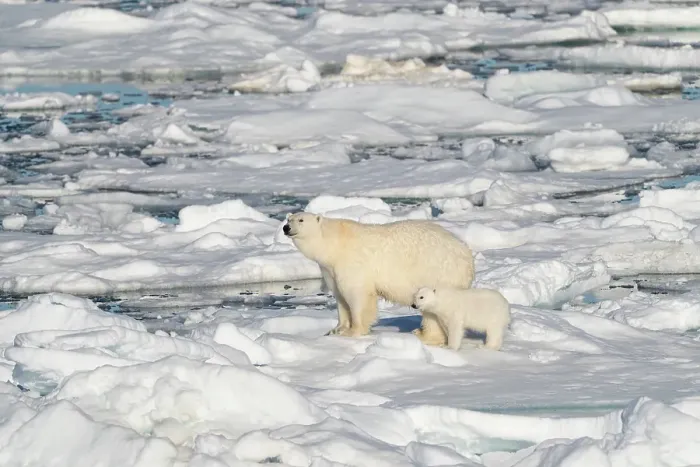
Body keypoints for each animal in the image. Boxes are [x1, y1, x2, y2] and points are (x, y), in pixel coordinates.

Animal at [283, 212, 475, 342]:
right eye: (288, 219)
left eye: (301, 220)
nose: (286, 228)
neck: (335, 243)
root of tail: (467, 256)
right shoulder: (330, 269)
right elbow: (340, 297)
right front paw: (337, 330)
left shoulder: (353, 264)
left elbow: (357, 295)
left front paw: (354, 331)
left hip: (438, 272)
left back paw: (424, 334)